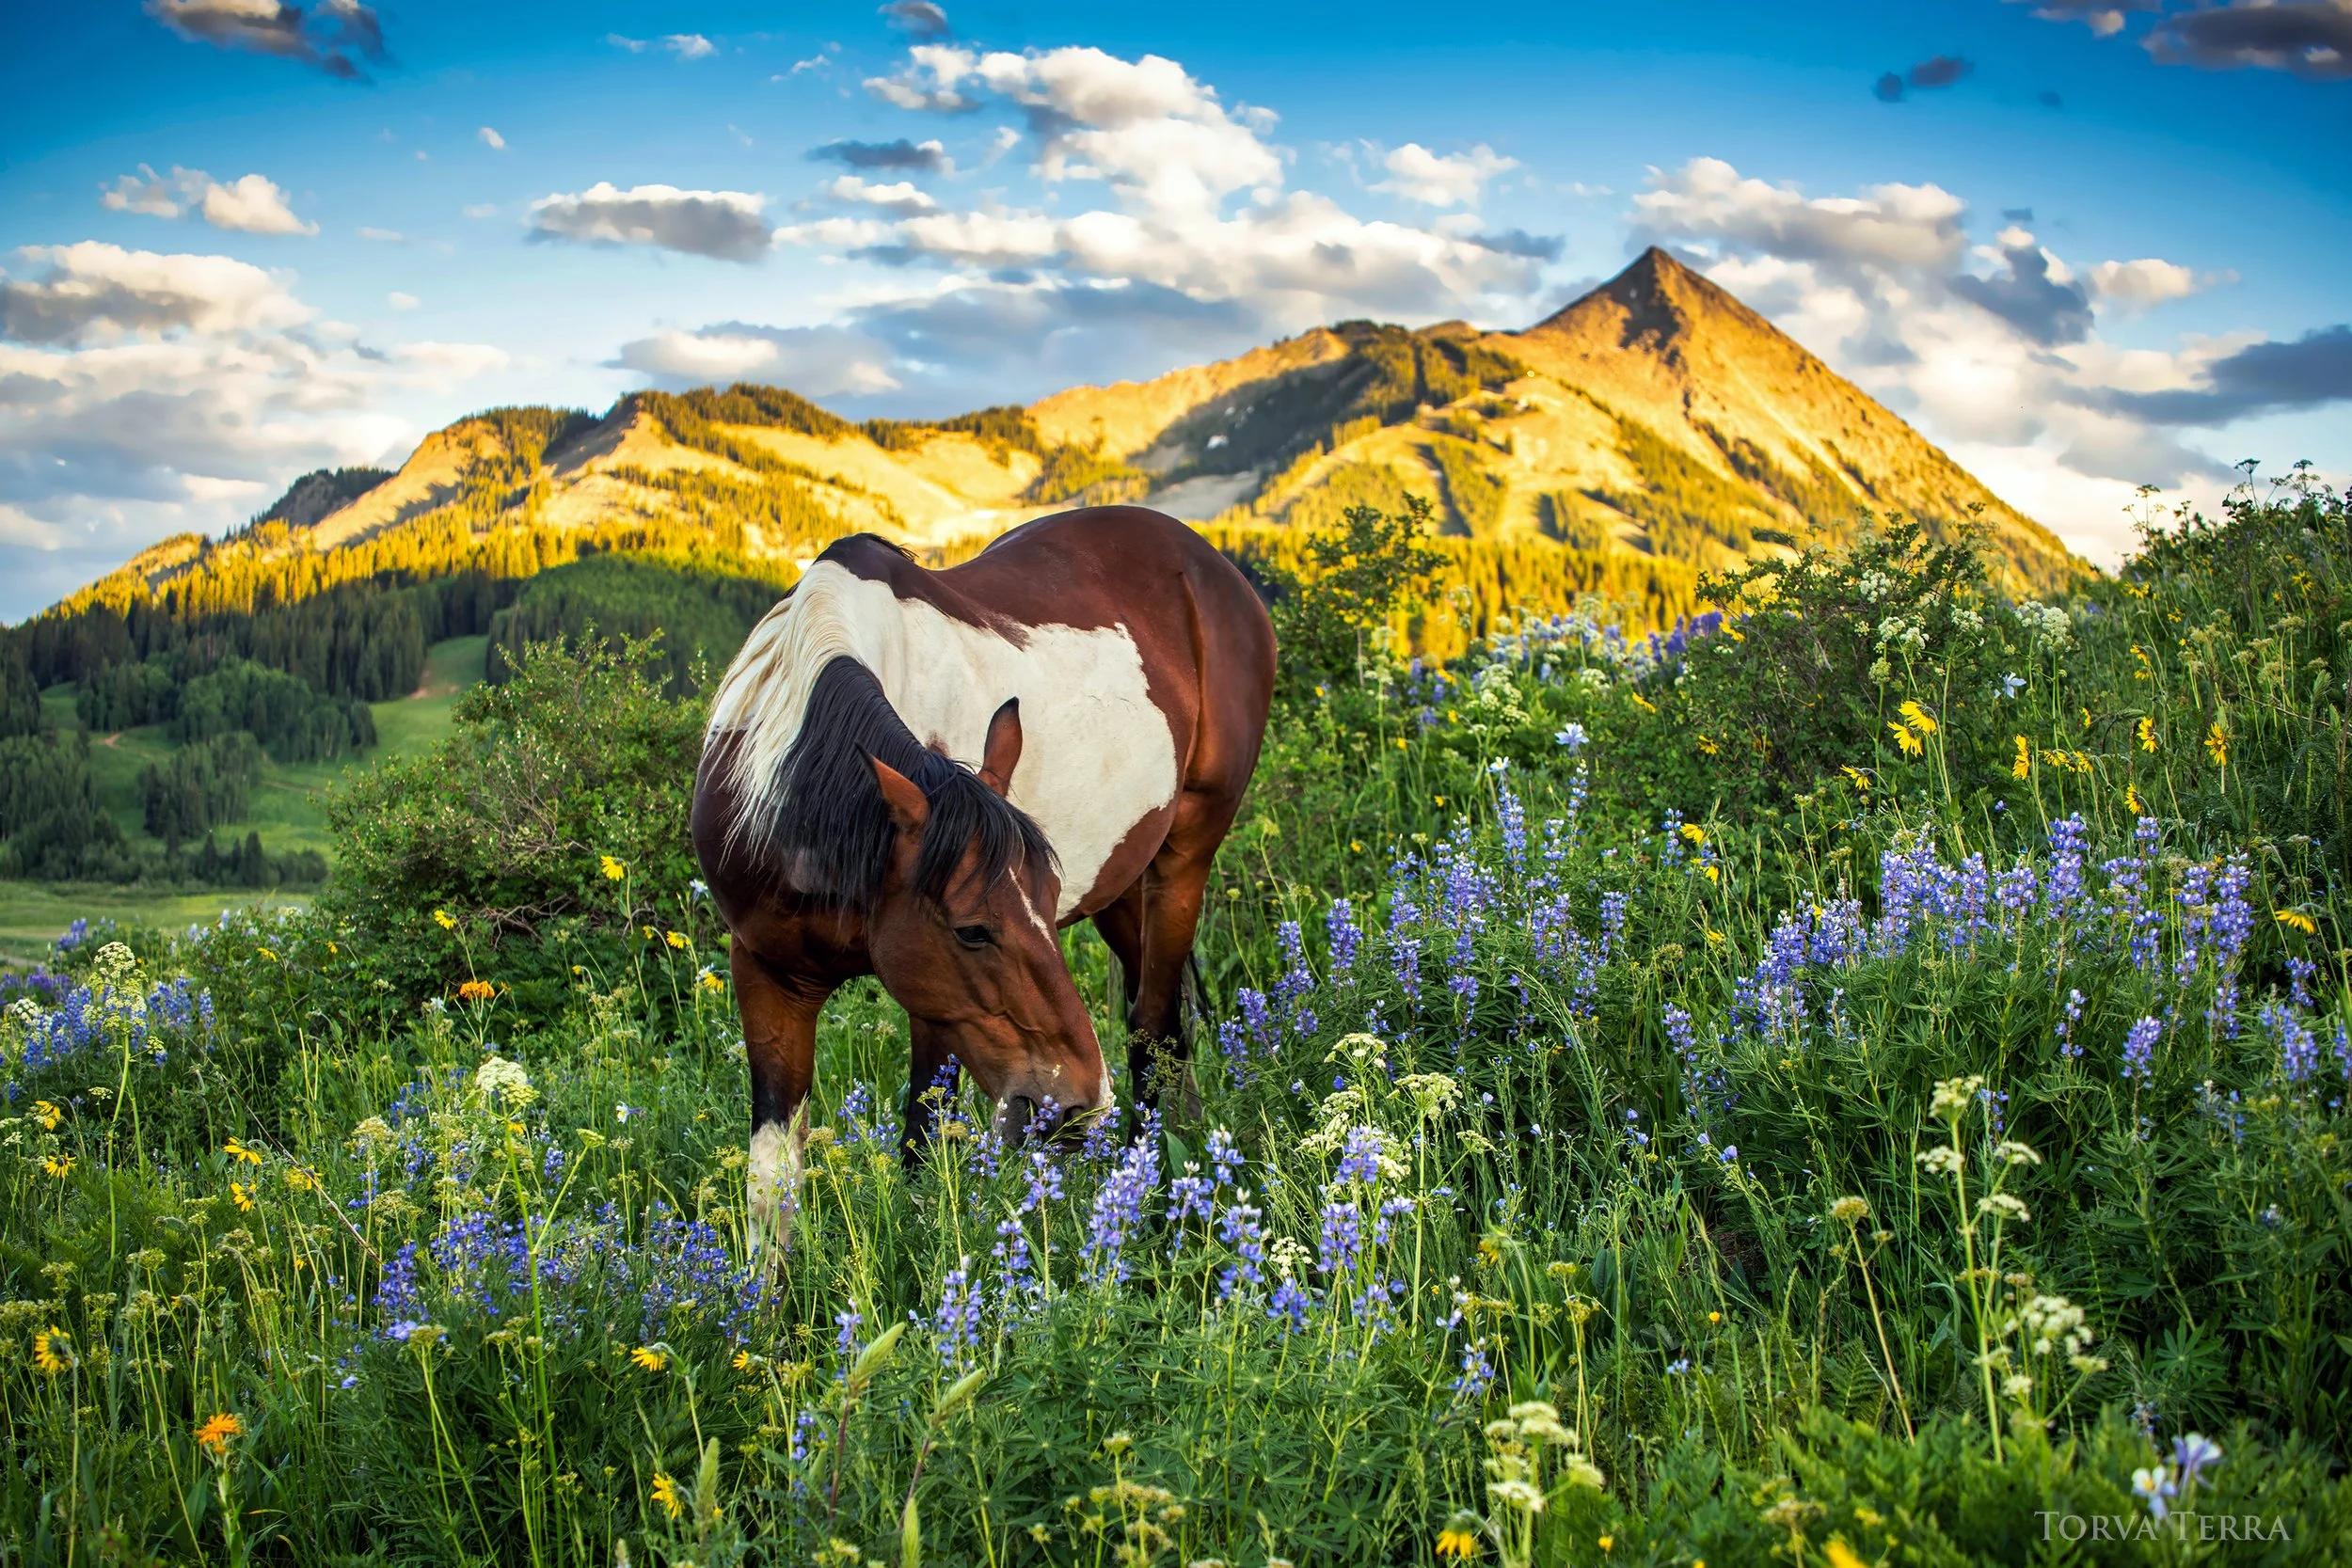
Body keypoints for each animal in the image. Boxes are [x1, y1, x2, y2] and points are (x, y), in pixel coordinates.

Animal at [691, 505, 1276, 1257]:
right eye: (971, 930)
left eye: (1047, 902)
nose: (1073, 1105)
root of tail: (1210, 564)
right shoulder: (769, 972)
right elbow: (772, 1187)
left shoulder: (936, 1010)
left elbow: (920, 1149)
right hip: (1122, 883)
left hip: (1184, 857)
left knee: (1153, 1031)